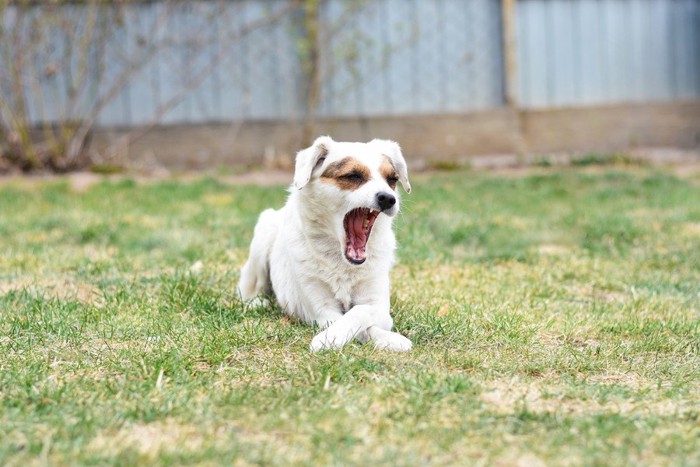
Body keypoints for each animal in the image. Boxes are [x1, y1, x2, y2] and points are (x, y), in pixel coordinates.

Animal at [238, 135, 412, 352]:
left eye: (392, 180)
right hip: (263, 235)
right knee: (250, 288)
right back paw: (258, 302)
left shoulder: (378, 306)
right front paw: (330, 337)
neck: (340, 260)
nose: (388, 198)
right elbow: (347, 321)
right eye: (353, 176)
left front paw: (390, 338)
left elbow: (359, 314)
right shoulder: (321, 310)